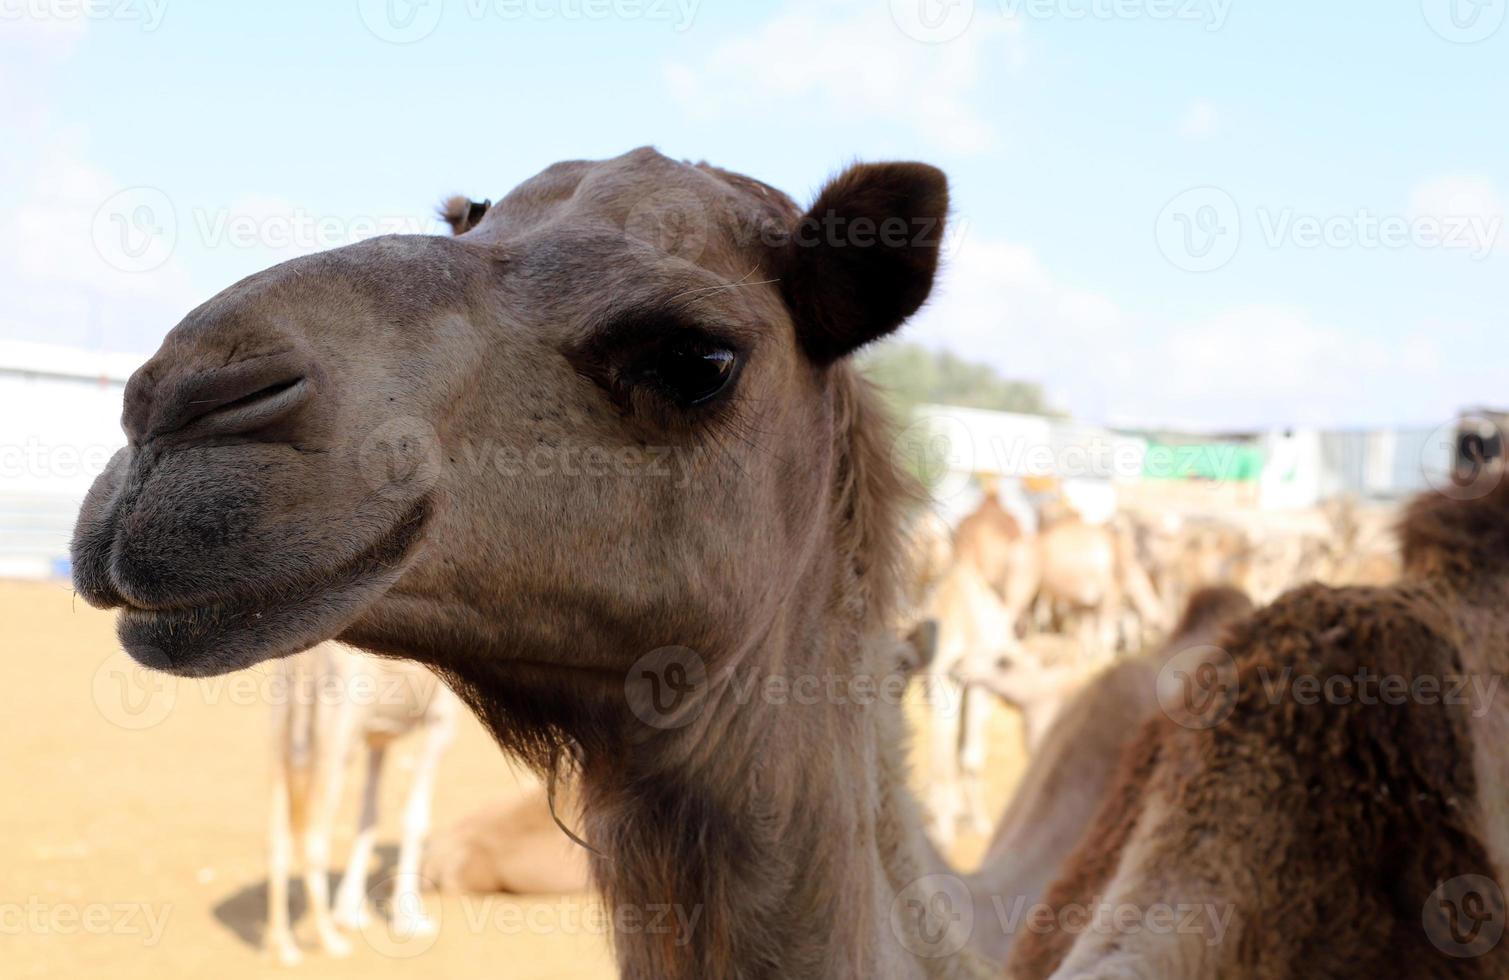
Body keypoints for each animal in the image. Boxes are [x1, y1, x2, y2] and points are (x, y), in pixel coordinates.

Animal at [265, 643, 455, 960]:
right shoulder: (441, 718)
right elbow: (415, 818)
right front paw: (409, 919)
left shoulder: (379, 736)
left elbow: (369, 816)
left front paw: (351, 912)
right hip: (336, 740)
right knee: (313, 838)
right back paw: (330, 941)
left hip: (283, 734)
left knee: (279, 838)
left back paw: (284, 948)